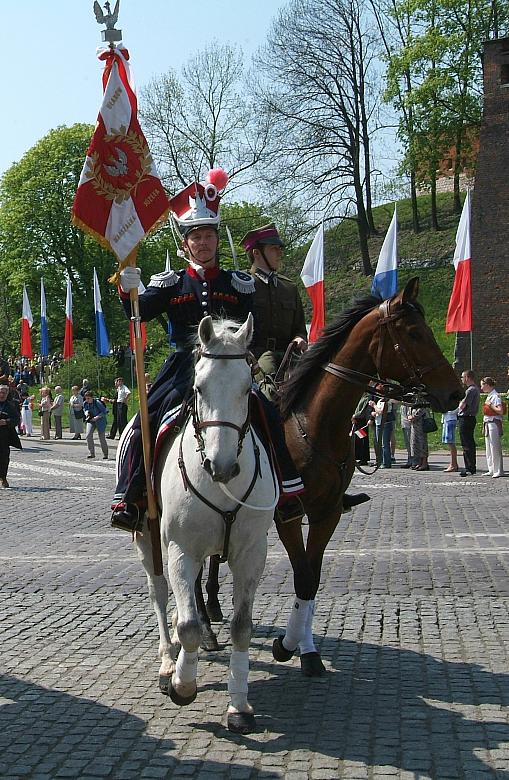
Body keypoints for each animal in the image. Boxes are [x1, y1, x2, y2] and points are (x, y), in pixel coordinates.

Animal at [129, 314, 276, 736]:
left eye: (247, 389)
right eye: (198, 387)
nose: (221, 465)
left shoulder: (251, 553)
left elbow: (241, 626)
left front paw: (239, 704)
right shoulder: (180, 550)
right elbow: (189, 625)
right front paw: (182, 684)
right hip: (148, 541)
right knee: (161, 595)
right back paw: (168, 661)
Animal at [201, 280, 460, 676]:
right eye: (415, 333)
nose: (456, 392)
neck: (313, 425)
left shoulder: (328, 513)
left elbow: (312, 579)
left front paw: (305, 649)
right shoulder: (289, 515)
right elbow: (303, 575)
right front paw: (287, 647)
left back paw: (214, 606)